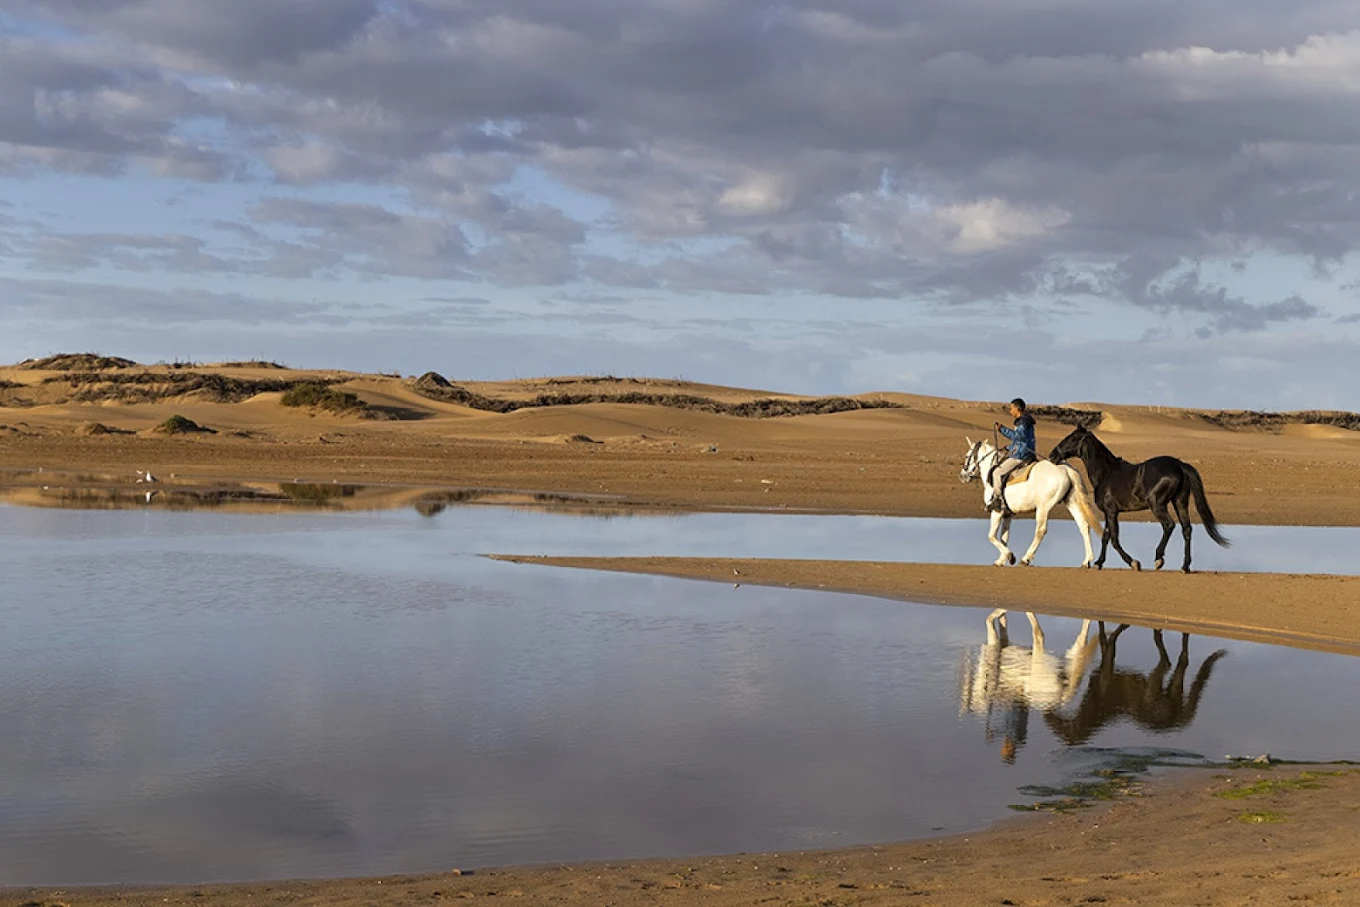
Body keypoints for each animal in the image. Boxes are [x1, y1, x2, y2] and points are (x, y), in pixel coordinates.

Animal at [958, 437, 1104, 567]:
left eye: (966, 456)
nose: (962, 476)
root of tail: (1065, 468)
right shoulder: (1008, 514)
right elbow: (1004, 537)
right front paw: (1001, 560)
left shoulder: (997, 512)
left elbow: (992, 536)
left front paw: (1009, 556)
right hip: (1071, 502)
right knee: (1084, 525)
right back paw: (1087, 560)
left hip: (1043, 508)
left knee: (1041, 530)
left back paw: (1026, 559)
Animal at [1048, 425, 1230, 573]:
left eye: (1071, 438)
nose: (1052, 455)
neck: (1106, 473)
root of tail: (1180, 465)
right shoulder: (1110, 512)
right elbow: (1106, 536)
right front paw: (1099, 563)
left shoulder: (1111, 512)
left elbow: (1114, 539)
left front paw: (1134, 563)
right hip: (1179, 502)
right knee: (1187, 529)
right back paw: (1185, 566)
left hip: (1157, 504)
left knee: (1169, 525)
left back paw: (1159, 559)